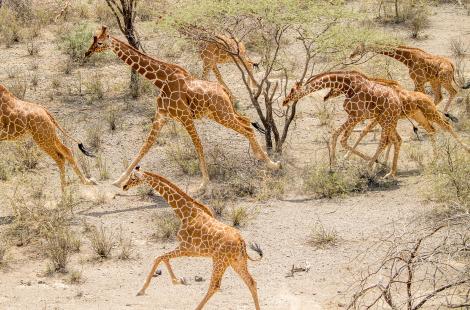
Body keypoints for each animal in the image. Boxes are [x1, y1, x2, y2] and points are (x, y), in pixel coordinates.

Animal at [84, 26, 280, 191]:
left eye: (99, 43)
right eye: (93, 40)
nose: (87, 53)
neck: (160, 81)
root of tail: (223, 91)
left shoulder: (185, 117)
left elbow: (197, 144)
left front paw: (203, 183)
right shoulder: (161, 116)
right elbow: (145, 146)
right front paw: (118, 180)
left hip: (222, 115)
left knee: (246, 128)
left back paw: (272, 163)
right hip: (222, 113)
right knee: (246, 122)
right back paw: (261, 156)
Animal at [122, 167, 264, 310]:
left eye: (133, 178)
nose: (124, 186)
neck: (185, 213)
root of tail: (241, 242)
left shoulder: (186, 248)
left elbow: (159, 257)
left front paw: (141, 290)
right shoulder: (188, 250)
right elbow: (163, 258)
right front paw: (178, 280)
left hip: (220, 261)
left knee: (215, 285)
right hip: (237, 262)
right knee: (251, 282)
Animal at [324, 77, 470, 162]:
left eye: (334, 86)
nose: (326, 96)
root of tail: (427, 98)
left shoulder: (379, 117)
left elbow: (369, 132)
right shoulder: (380, 118)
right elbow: (374, 134)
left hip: (429, 113)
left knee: (446, 125)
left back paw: (466, 149)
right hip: (419, 116)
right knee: (432, 129)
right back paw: (435, 157)